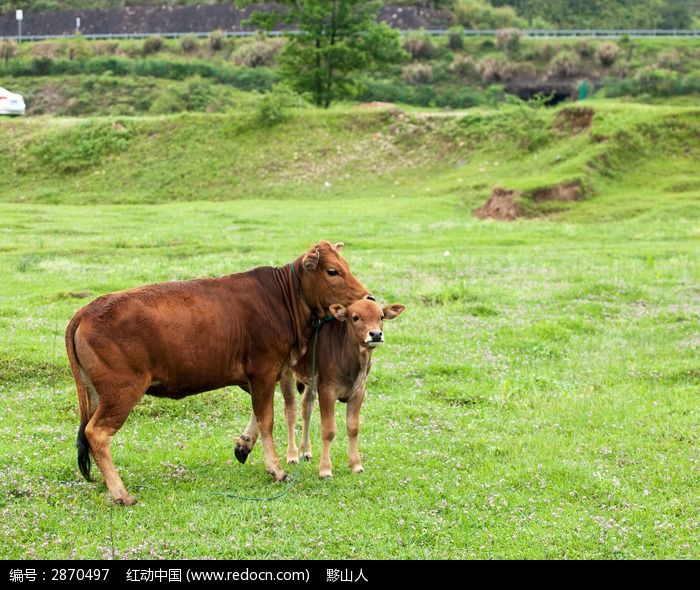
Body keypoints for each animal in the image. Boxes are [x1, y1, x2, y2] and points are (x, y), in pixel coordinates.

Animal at [65, 240, 372, 504]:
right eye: (333, 271)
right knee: (97, 433)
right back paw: (120, 493)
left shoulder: (261, 376)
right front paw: (276, 469)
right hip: (121, 393)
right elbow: (267, 419)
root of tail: (85, 311)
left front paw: (244, 445)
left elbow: (258, 416)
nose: (367, 297)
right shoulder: (263, 370)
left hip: (97, 394)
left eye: (345, 265)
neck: (283, 299)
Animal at [239, 300, 404, 480]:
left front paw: (356, 465)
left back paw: (305, 451)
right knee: (290, 410)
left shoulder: (359, 392)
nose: (375, 334)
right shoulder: (327, 391)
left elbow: (353, 428)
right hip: (285, 374)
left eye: (381, 317)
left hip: (310, 381)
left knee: (306, 409)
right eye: (355, 317)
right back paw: (292, 455)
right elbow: (328, 430)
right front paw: (325, 470)